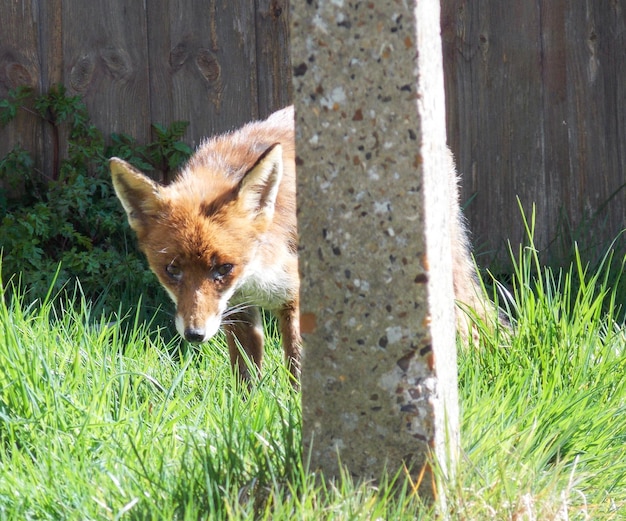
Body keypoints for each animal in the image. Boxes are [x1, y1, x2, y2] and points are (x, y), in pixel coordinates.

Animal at [109, 104, 492, 382]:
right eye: (172, 270)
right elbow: (246, 375)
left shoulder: (294, 296)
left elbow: (298, 367)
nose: (194, 334)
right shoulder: (236, 311)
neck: (254, 274)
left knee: (472, 313)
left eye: (223, 268)